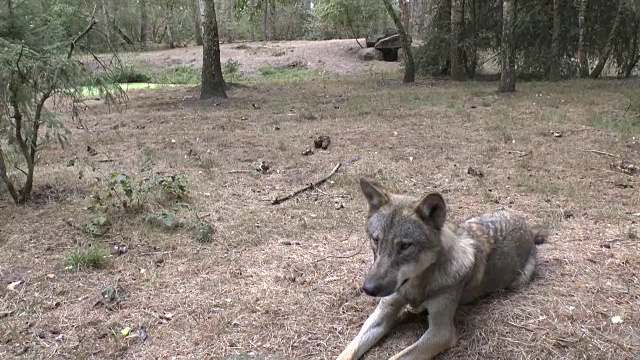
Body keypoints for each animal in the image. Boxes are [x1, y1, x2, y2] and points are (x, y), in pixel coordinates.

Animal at [338, 179, 548, 358]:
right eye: (376, 240)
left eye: (405, 246)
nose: (368, 289)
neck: (416, 286)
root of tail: (528, 228)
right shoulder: (382, 314)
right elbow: (347, 352)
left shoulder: (441, 332)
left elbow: (396, 357)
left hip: (518, 282)